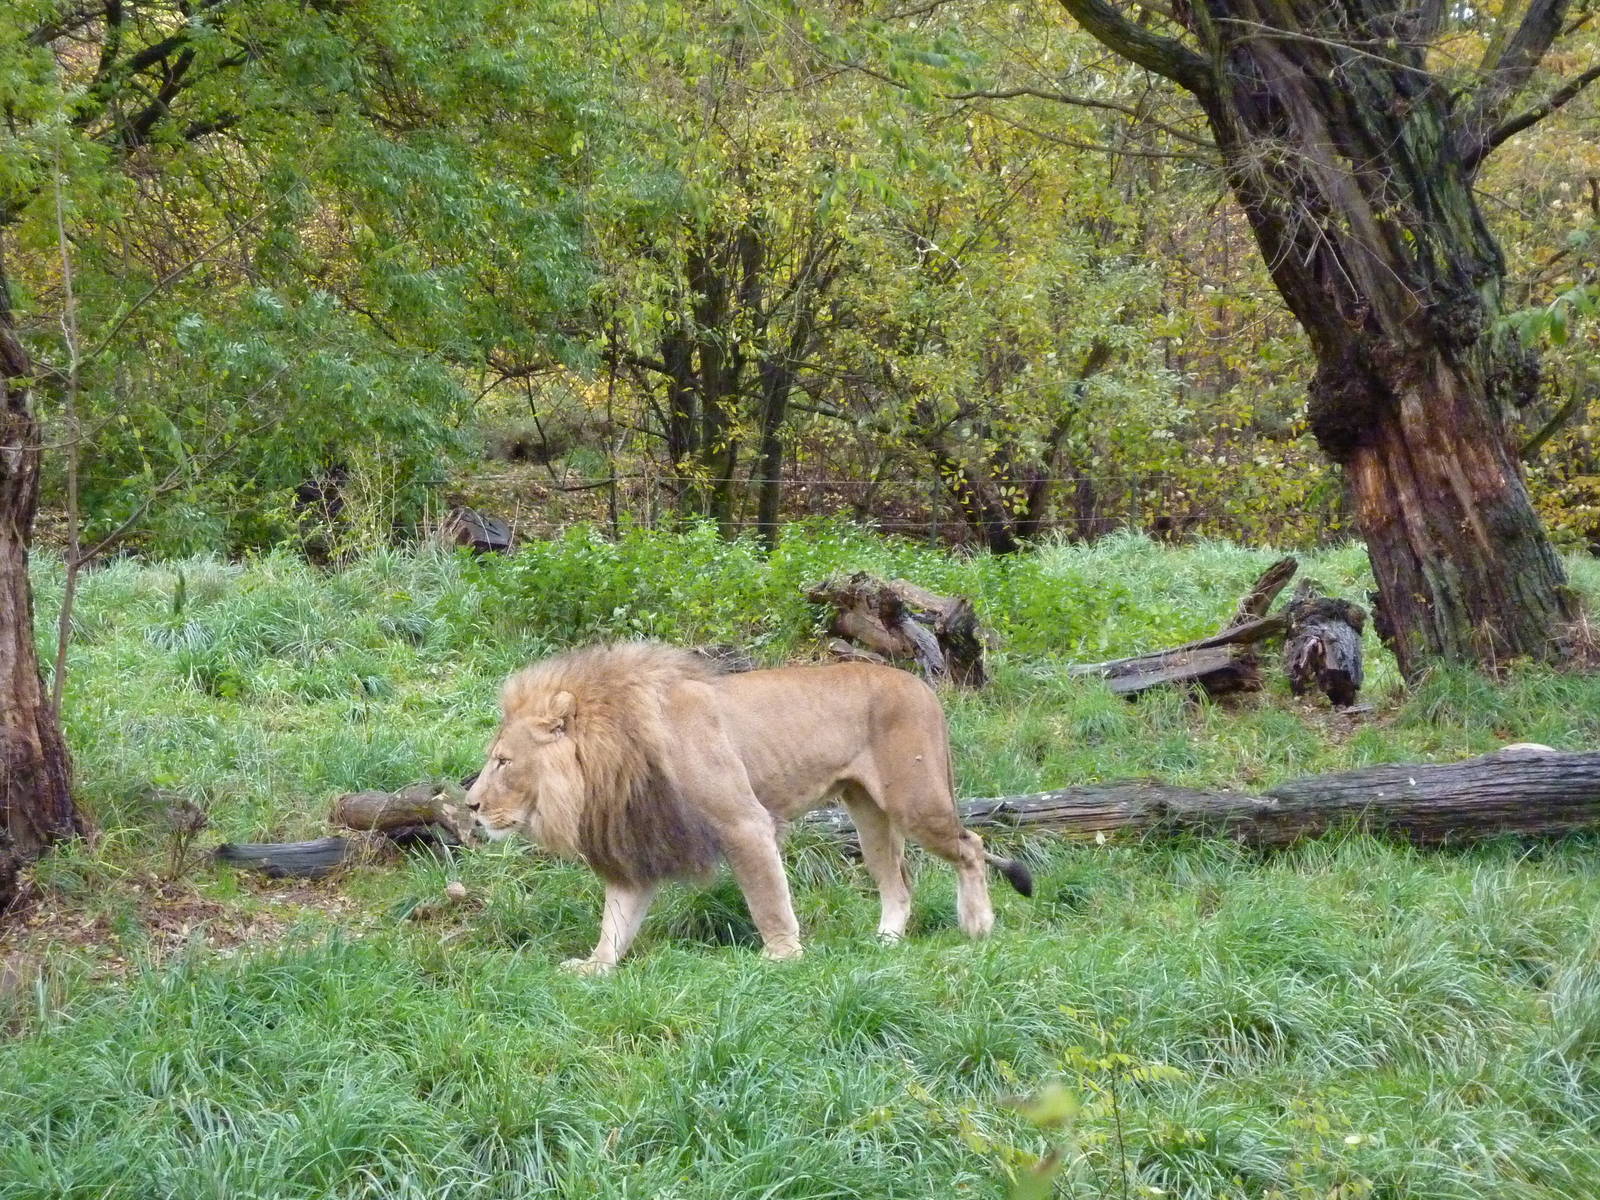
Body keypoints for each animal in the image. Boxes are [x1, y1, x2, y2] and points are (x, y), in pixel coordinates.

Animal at [465, 642, 1032, 973]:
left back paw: (977, 927)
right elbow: (617, 920)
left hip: (916, 799)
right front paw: (594, 966)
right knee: (899, 881)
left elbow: (766, 898)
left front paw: (781, 958)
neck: (610, 757)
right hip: (867, 813)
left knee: (972, 844)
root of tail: (923, 686)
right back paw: (886, 941)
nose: (469, 805)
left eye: (503, 761)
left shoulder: (744, 823)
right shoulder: (643, 840)